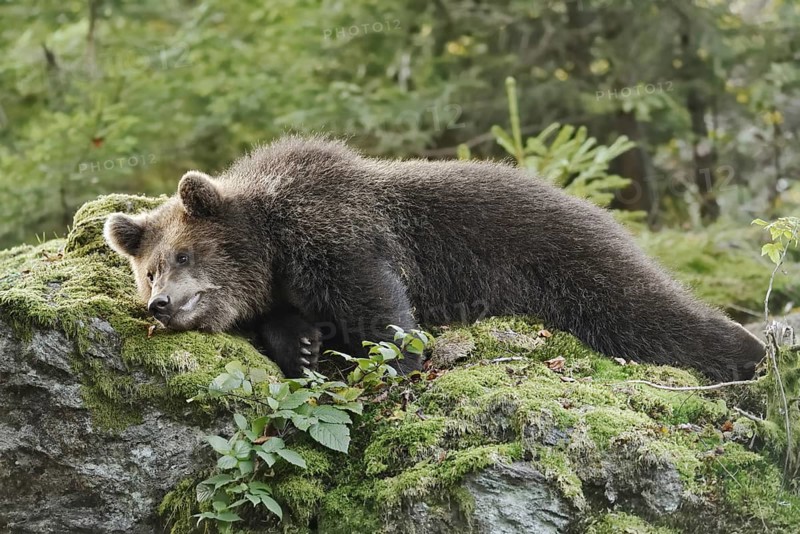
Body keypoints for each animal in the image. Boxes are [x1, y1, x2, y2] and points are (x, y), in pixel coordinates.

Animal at [103, 136, 765, 381]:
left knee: (647, 311)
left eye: (183, 254)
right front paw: (304, 347)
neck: (272, 243)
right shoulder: (281, 280)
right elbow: (288, 320)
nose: (161, 304)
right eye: (147, 271)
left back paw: (747, 351)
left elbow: (376, 302)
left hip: (571, 257)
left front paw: (395, 359)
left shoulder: (337, 230)